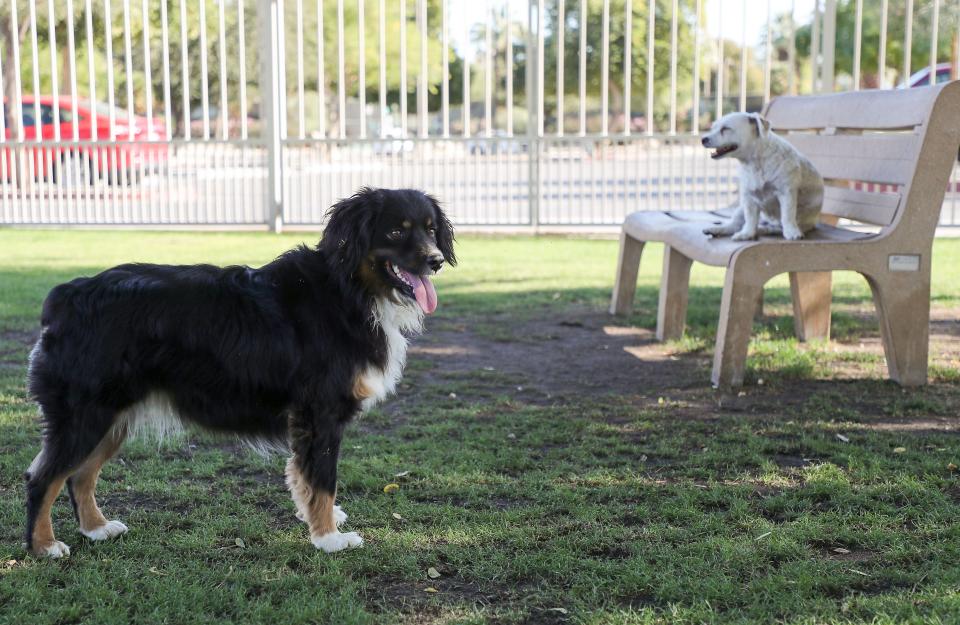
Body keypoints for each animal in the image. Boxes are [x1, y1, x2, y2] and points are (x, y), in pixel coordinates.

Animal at [22, 186, 456, 556]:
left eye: (431, 230)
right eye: (396, 230)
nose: (435, 261)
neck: (348, 289)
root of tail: (66, 296)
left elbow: (305, 477)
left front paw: (320, 520)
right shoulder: (321, 414)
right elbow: (322, 479)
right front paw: (328, 538)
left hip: (112, 417)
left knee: (80, 476)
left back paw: (96, 528)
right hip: (87, 415)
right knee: (43, 478)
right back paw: (44, 547)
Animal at [696, 111, 824, 240]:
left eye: (725, 129)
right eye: (713, 128)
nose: (703, 139)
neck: (754, 163)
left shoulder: (786, 194)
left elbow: (787, 215)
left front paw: (791, 232)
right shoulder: (749, 198)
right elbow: (750, 219)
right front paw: (746, 233)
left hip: (798, 222)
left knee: (775, 228)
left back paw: (764, 229)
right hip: (740, 210)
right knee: (734, 225)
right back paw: (718, 229)